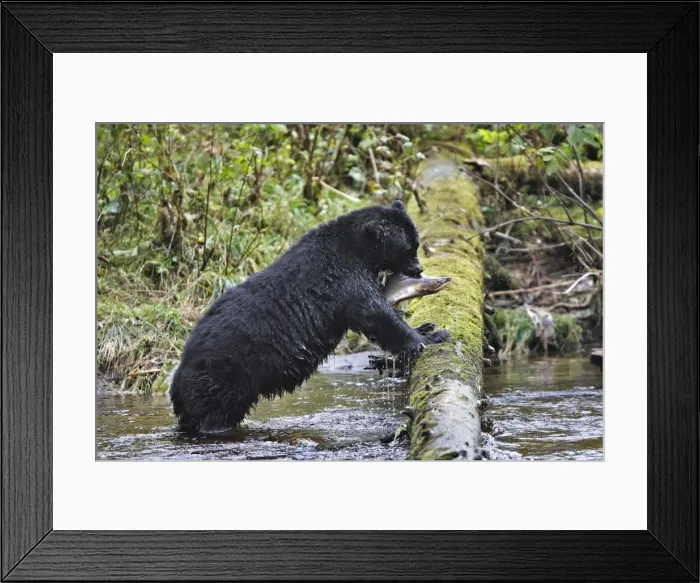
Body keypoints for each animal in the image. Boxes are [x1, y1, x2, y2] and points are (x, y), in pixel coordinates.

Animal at [169, 200, 449, 436]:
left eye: (416, 242)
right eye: (408, 248)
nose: (418, 269)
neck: (358, 250)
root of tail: (178, 377)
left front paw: (426, 327)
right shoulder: (343, 279)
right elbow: (376, 315)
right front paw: (435, 336)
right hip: (224, 378)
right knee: (216, 414)